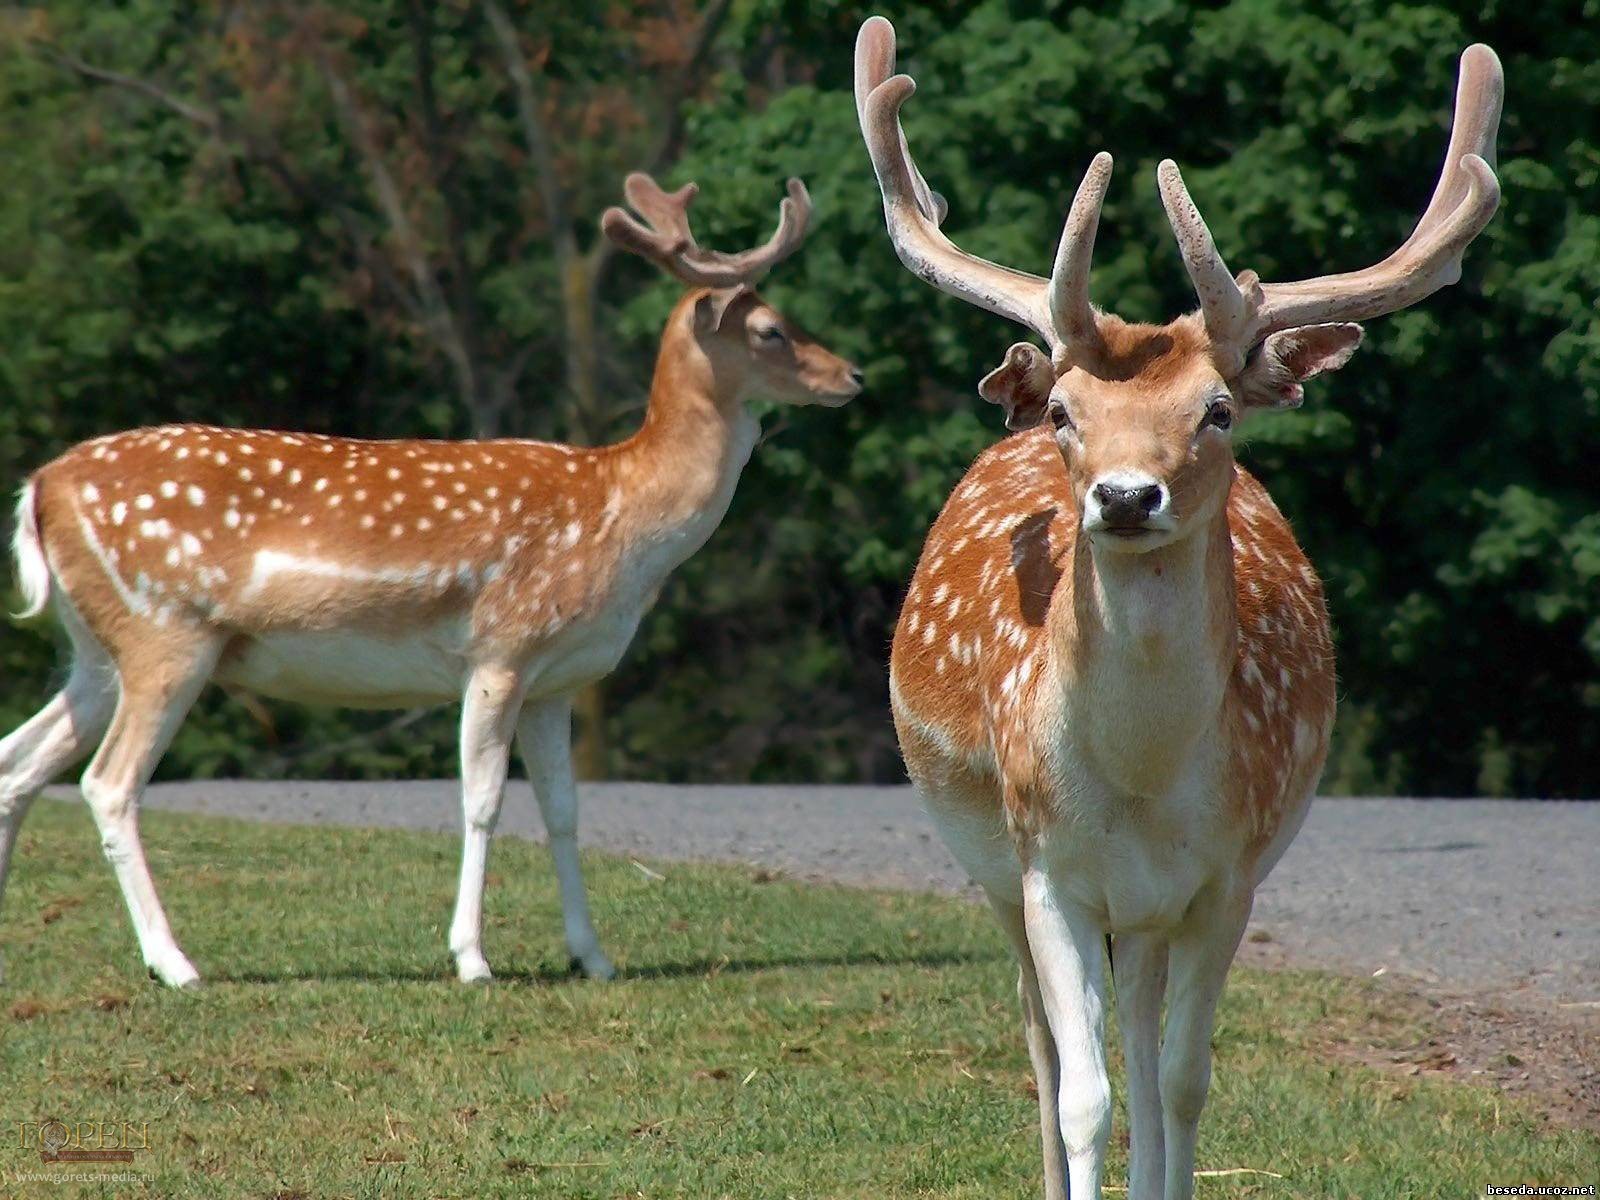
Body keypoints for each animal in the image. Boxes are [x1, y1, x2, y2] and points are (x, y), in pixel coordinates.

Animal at [0, 171, 864, 998]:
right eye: (770, 328)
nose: (852, 373)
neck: (622, 519)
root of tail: (41, 486)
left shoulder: (559, 680)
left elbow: (564, 809)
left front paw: (593, 957)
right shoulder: (502, 647)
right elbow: (482, 803)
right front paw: (472, 959)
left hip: (96, 649)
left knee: (19, 761)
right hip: (166, 631)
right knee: (108, 785)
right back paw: (175, 963)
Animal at [857, 18, 1504, 1200]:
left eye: (1215, 411)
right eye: (1067, 412)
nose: (1123, 496)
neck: (1141, 776)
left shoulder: (1224, 880)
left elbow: (1180, 1079)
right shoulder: (1049, 873)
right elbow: (1084, 1092)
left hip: (1148, 910)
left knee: (1143, 1035)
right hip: (989, 859)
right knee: (1040, 1039)